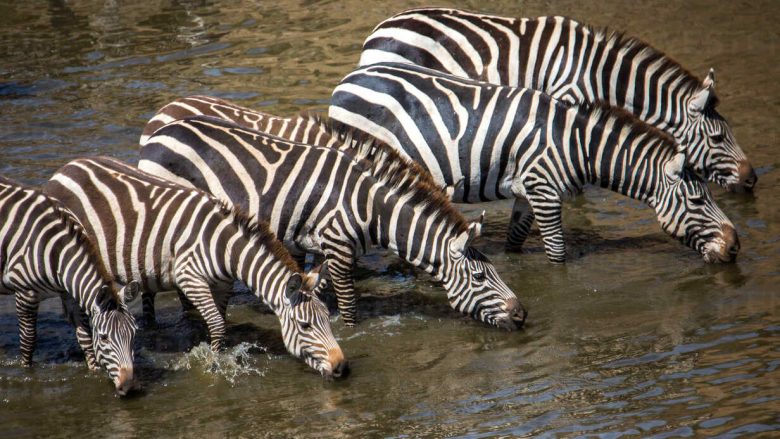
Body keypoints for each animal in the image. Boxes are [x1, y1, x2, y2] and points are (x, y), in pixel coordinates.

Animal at [0, 175, 139, 396]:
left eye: (134, 334)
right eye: (105, 338)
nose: (130, 387)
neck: (57, 253)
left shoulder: (69, 294)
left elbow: (85, 338)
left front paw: (93, 370)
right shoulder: (25, 293)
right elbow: (28, 341)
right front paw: (26, 371)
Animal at [42, 157, 348, 378]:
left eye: (326, 318)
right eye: (306, 325)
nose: (342, 367)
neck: (226, 249)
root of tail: (64, 169)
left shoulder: (223, 283)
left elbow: (220, 321)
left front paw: (218, 352)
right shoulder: (190, 277)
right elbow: (216, 323)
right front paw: (214, 363)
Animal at [139, 113, 532, 330]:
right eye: (480, 277)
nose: (522, 315)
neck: (371, 206)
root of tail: (160, 133)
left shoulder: (332, 249)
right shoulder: (339, 246)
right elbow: (349, 306)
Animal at [328, 62, 736, 264]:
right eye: (698, 200)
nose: (735, 248)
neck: (576, 145)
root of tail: (348, 80)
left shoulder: (526, 193)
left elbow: (514, 242)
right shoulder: (545, 190)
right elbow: (557, 254)